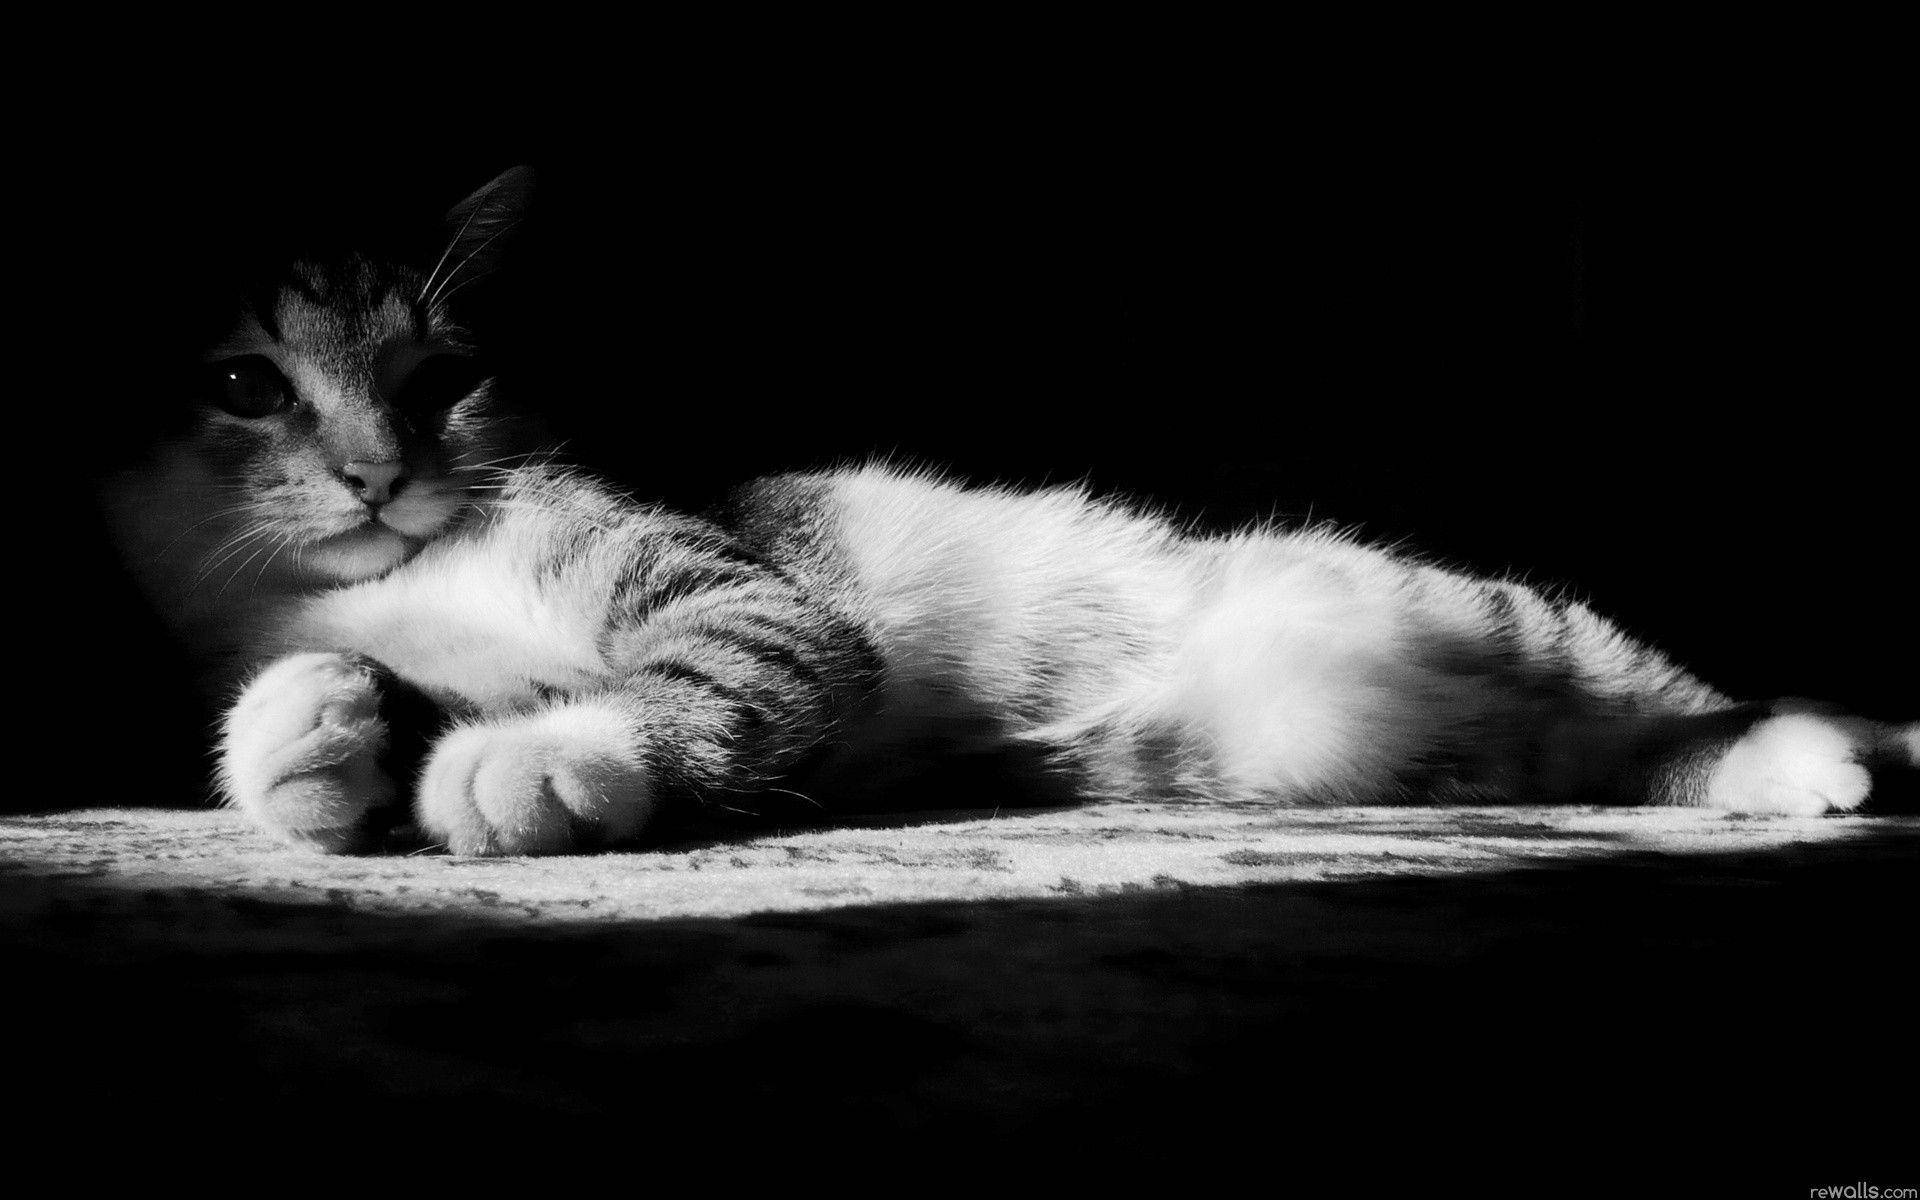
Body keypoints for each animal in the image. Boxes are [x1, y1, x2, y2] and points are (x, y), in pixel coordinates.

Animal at [101, 168, 1920, 856]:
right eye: (248, 383)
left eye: (444, 376)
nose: (376, 469)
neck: (405, 571)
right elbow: (327, 697)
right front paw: (312, 733)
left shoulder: (740, 593)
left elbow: (694, 672)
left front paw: (544, 762)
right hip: (1405, 742)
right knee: (1635, 751)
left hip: (1505, 614)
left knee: (1692, 692)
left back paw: (1851, 744)